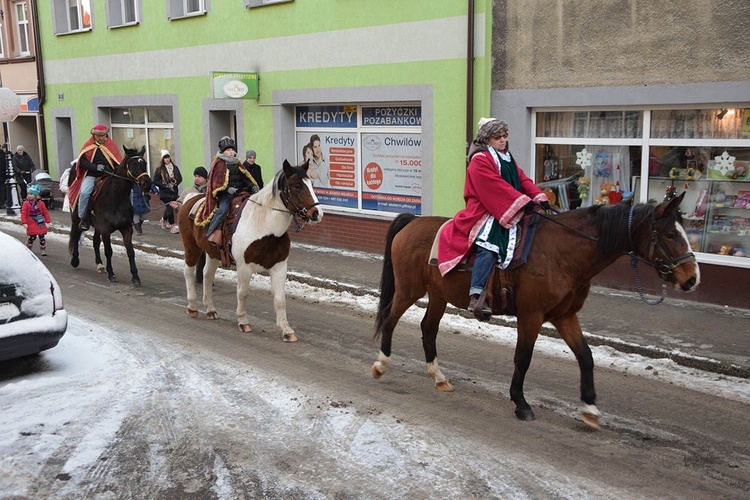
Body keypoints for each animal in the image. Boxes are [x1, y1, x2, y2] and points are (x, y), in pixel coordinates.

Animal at [70, 145, 152, 286]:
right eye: (133, 165)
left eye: (145, 163)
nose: (147, 184)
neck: (116, 197)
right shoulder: (106, 229)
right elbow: (108, 251)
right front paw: (111, 274)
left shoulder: (126, 228)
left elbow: (130, 252)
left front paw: (135, 277)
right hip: (77, 219)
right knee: (76, 235)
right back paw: (75, 260)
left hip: (97, 226)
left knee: (95, 241)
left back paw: (99, 265)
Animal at [180, 160, 326, 340]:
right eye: (297, 185)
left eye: (311, 184)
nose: (317, 214)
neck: (263, 227)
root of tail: (190, 199)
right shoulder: (244, 267)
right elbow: (243, 293)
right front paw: (243, 322)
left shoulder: (279, 267)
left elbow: (280, 299)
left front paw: (286, 330)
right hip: (191, 247)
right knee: (188, 272)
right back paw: (192, 306)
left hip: (212, 253)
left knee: (207, 276)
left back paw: (210, 309)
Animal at [374, 193, 704, 428]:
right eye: (670, 235)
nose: (692, 279)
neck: (562, 253)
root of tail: (412, 222)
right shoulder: (531, 316)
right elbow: (523, 358)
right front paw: (521, 403)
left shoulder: (564, 316)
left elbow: (586, 356)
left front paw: (590, 408)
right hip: (409, 290)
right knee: (390, 318)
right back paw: (381, 364)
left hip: (438, 295)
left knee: (428, 328)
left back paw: (439, 377)